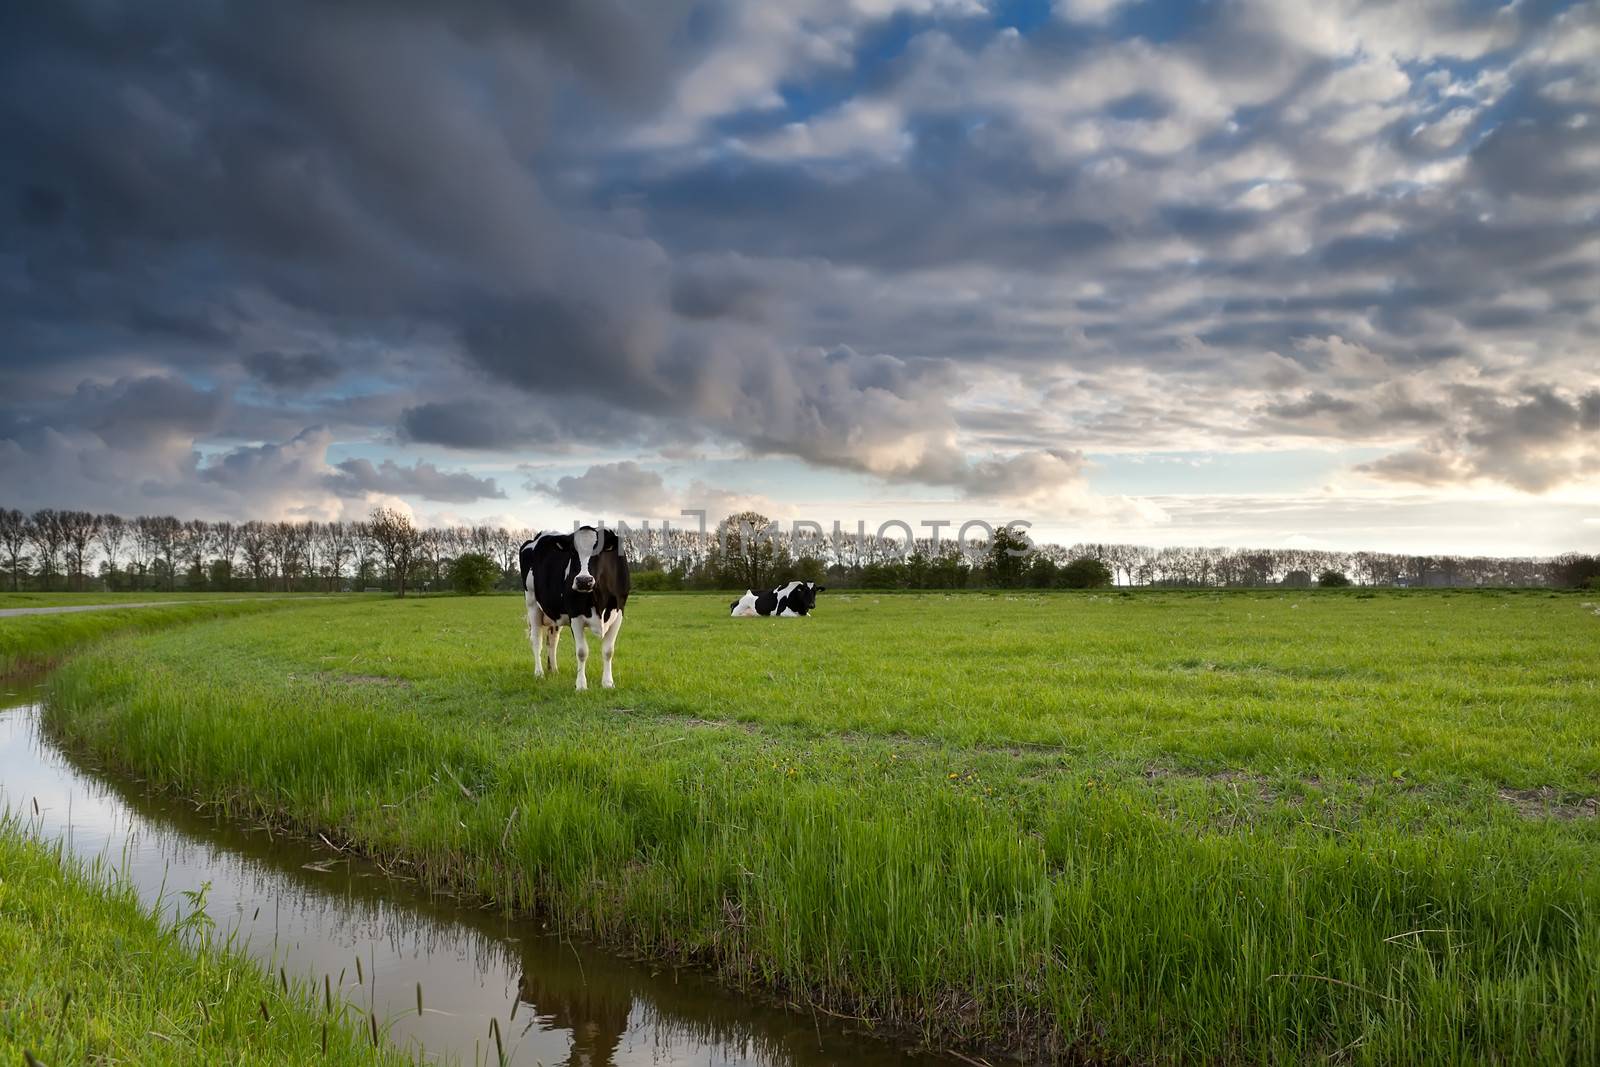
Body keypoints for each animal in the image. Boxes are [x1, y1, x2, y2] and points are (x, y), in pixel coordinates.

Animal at [518, 527, 630, 694]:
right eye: (572, 551)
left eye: (599, 551)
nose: (583, 580)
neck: (599, 601)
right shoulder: (575, 615)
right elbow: (582, 652)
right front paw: (581, 685)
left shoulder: (618, 614)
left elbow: (608, 651)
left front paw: (608, 683)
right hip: (532, 603)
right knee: (536, 640)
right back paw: (539, 673)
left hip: (554, 613)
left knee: (552, 640)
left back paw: (554, 670)